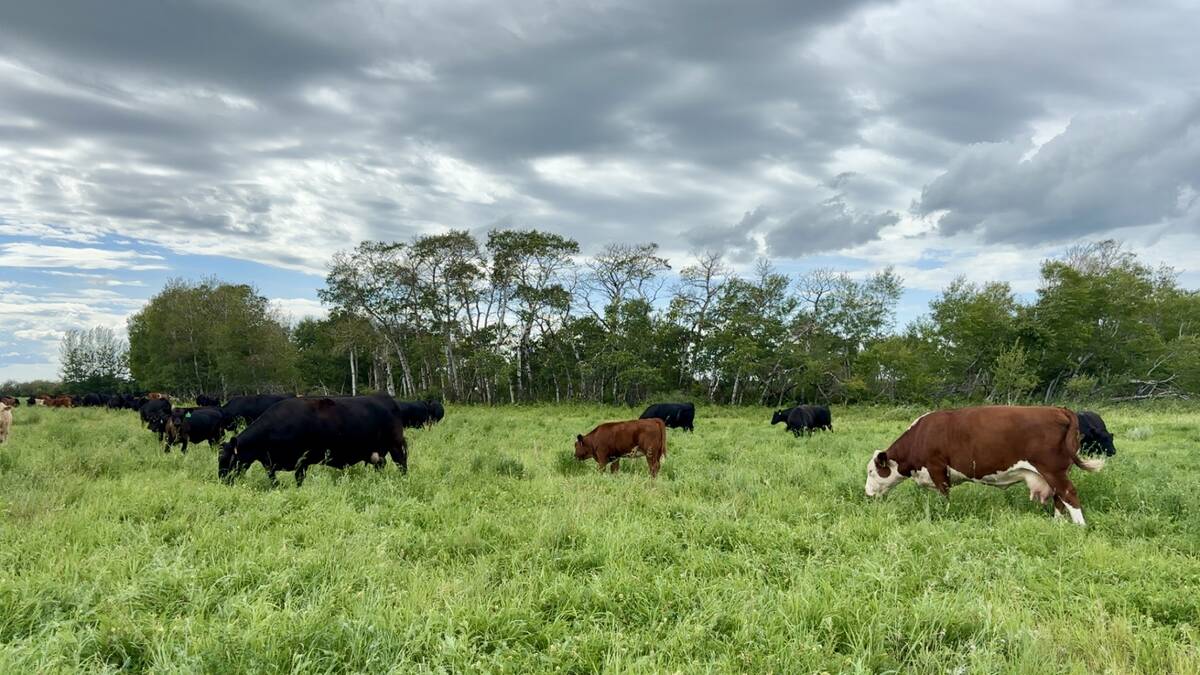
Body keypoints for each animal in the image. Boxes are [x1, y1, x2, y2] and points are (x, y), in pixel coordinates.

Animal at [218, 394, 408, 487]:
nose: (222, 480)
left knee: (401, 464)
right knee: (381, 465)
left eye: (229, 459)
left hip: (396, 445)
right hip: (377, 452)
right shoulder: (269, 461)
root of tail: (386, 398)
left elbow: (298, 478)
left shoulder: (302, 460)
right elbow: (272, 478)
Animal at [864, 406, 1104, 526]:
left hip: (1052, 469)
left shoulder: (937, 468)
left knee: (1069, 494)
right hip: (1055, 472)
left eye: (871, 471)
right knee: (1059, 498)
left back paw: (1079, 526)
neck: (921, 435)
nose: (867, 493)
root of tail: (1059, 409)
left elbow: (945, 496)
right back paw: (1057, 524)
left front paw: (946, 512)